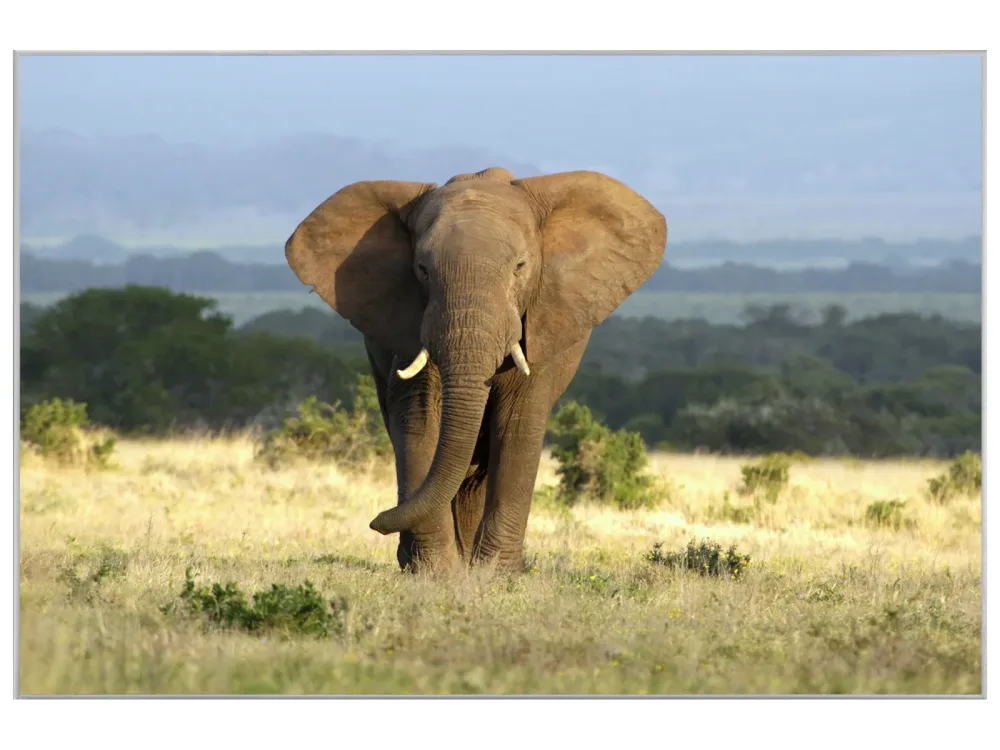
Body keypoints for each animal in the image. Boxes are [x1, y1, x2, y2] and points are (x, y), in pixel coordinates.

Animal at [284, 166, 667, 573]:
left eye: (520, 268)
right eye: (422, 270)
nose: (376, 521)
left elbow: (517, 424)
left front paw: (494, 575)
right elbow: (418, 418)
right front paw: (436, 573)